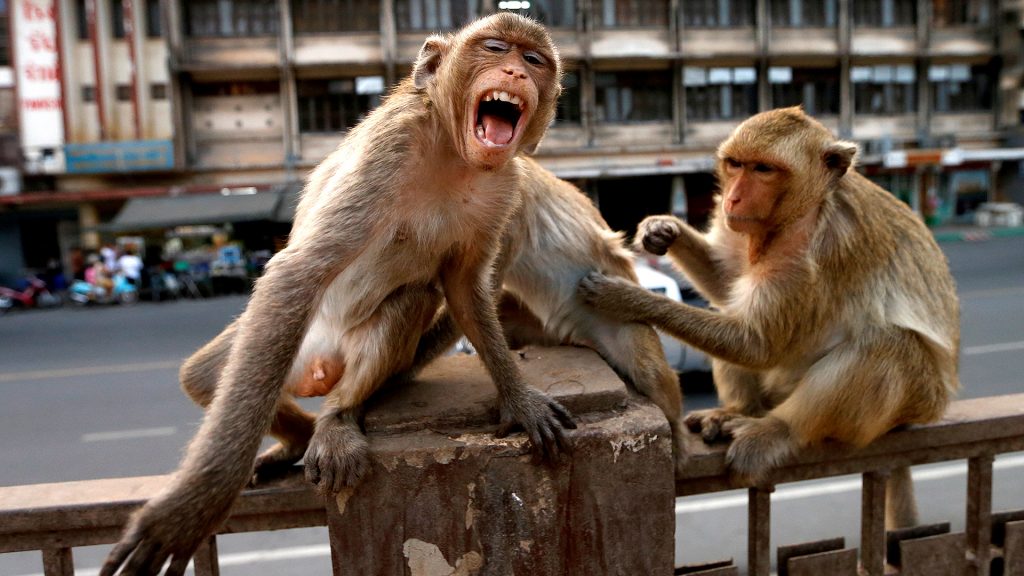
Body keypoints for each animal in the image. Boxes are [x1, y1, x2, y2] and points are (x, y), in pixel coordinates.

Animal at [101, 14, 575, 575]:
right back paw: (297, 438)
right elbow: (298, 271)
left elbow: (463, 287)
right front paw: (198, 502)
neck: (454, 153)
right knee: (207, 375)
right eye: (497, 48)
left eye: (534, 60)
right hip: (289, 342)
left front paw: (519, 400)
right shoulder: (391, 147)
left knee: (409, 302)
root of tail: (321, 365)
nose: (515, 72)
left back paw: (333, 418)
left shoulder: (505, 184)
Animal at [577, 106, 960, 529]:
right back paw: (737, 410)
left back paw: (778, 429)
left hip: (914, 403)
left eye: (763, 169)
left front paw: (625, 298)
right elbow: (728, 285)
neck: (802, 211)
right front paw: (663, 230)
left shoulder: (813, 253)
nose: (733, 197)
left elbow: (758, 344)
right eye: (735, 164)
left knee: (886, 344)